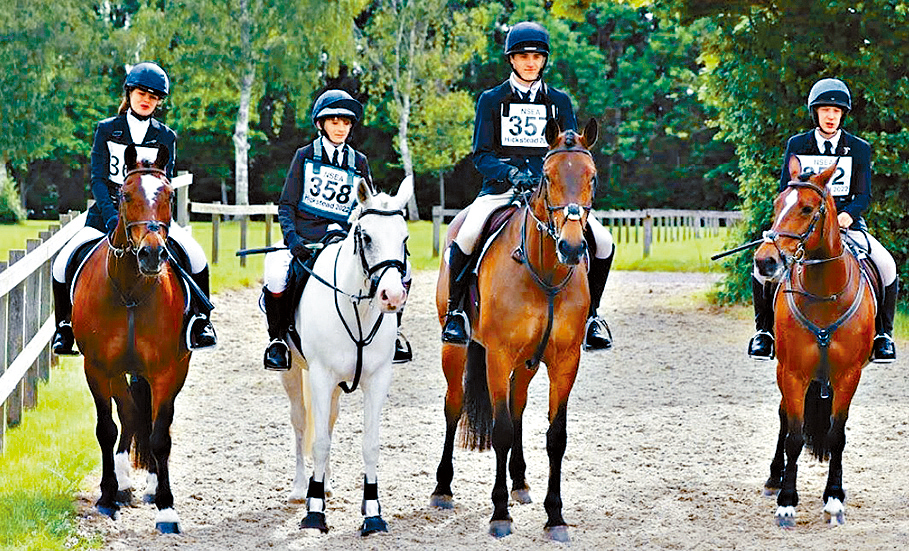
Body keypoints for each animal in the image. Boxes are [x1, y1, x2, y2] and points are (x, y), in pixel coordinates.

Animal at [72, 144, 191, 534]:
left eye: (169, 195)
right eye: (124, 195)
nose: (152, 254)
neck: (130, 291)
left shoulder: (167, 371)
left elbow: (160, 435)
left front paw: (166, 508)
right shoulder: (96, 368)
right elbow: (107, 428)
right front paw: (108, 496)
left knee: (148, 419)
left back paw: (152, 487)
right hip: (116, 372)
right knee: (128, 412)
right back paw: (123, 485)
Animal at [279, 175, 413, 536]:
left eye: (405, 238)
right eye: (365, 237)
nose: (392, 296)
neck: (358, 309)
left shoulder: (378, 379)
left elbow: (370, 444)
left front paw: (373, 513)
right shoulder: (320, 377)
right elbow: (319, 442)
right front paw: (314, 513)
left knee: (328, 422)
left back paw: (324, 484)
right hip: (292, 372)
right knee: (301, 422)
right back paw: (301, 488)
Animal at [431, 118, 599, 542]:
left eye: (591, 176)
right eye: (547, 177)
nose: (573, 248)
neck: (545, 272)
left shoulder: (564, 361)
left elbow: (556, 436)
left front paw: (555, 517)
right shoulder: (498, 356)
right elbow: (501, 429)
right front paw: (499, 515)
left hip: (528, 362)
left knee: (519, 405)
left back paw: (520, 483)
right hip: (455, 350)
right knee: (454, 405)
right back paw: (442, 489)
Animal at [753, 157, 876, 527]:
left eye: (807, 208)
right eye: (777, 204)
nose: (765, 261)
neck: (823, 293)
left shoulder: (848, 375)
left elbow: (837, 436)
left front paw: (834, 499)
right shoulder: (792, 372)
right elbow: (793, 436)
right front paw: (786, 503)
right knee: (783, 419)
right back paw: (774, 477)